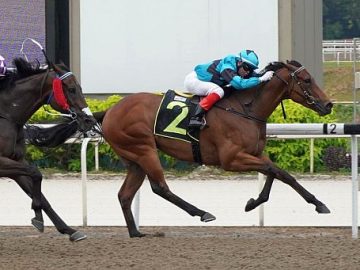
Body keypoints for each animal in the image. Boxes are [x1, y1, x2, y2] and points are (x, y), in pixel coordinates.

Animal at [0, 58, 97, 242]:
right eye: (71, 89)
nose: (90, 120)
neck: (6, 115)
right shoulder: (2, 163)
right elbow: (36, 172)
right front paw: (37, 213)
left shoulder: (15, 162)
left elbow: (39, 192)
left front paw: (69, 230)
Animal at [35, 60, 332, 237]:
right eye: (306, 80)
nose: (328, 105)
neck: (245, 109)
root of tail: (109, 111)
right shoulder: (232, 159)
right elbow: (279, 172)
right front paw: (318, 203)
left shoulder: (254, 153)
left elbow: (274, 172)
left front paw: (253, 202)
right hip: (144, 149)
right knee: (160, 187)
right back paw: (202, 213)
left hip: (133, 159)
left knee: (125, 195)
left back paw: (136, 233)